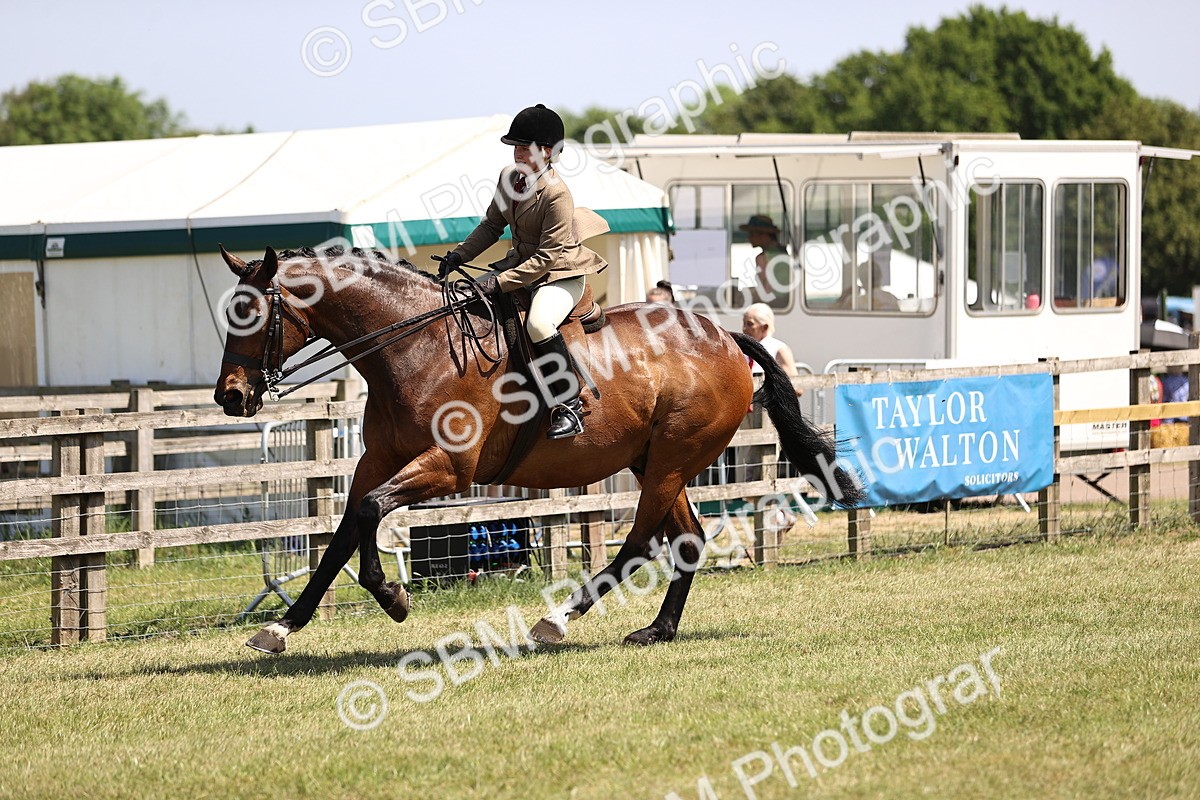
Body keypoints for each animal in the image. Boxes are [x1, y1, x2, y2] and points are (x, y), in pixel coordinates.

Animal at [213, 245, 862, 653]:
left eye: (251, 314)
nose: (229, 396)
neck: (414, 347)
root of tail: (723, 335)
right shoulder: (379, 460)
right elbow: (347, 529)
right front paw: (284, 627)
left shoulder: (448, 470)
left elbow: (371, 512)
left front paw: (393, 598)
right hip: (657, 462)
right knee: (687, 540)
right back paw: (657, 631)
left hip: (672, 461)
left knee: (639, 543)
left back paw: (558, 619)